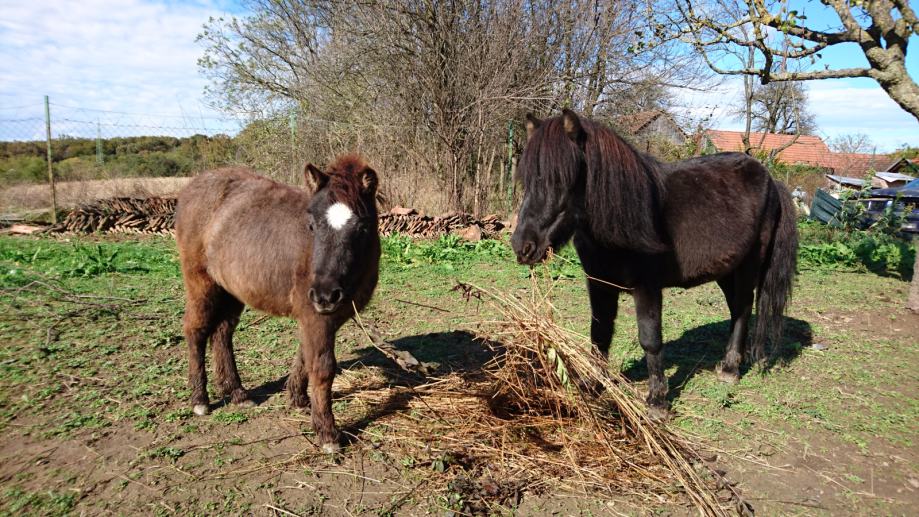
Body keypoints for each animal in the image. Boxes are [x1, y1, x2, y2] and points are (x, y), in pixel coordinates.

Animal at [175, 154, 381, 452]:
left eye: (362, 227)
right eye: (312, 225)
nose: (325, 294)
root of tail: (192, 187)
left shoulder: (319, 315)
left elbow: (305, 356)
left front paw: (297, 399)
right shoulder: (316, 316)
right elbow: (322, 369)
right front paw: (327, 434)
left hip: (232, 290)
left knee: (222, 333)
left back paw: (237, 393)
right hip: (201, 285)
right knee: (196, 331)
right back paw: (200, 400)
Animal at [510, 109, 797, 420]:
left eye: (562, 179)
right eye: (527, 179)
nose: (523, 247)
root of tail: (772, 180)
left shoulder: (647, 288)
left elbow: (650, 339)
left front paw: (657, 400)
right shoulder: (599, 284)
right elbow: (599, 333)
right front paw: (592, 384)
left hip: (748, 266)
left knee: (744, 308)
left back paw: (731, 368)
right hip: (726, 270)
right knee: (736, 309)